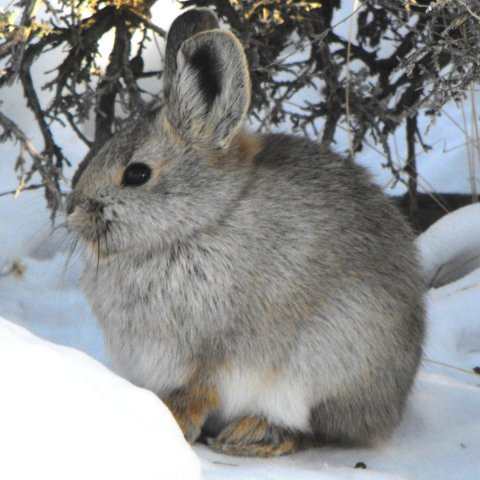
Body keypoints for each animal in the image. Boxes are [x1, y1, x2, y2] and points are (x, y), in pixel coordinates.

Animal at [66, 7, 424, 458]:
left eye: (137, 174)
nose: (74, 211)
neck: (200, 224)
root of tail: (393, 406)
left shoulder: (217, 354)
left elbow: (198, 391)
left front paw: (171, 422)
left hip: (326, 361)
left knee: (313, 429)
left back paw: (251, 435)